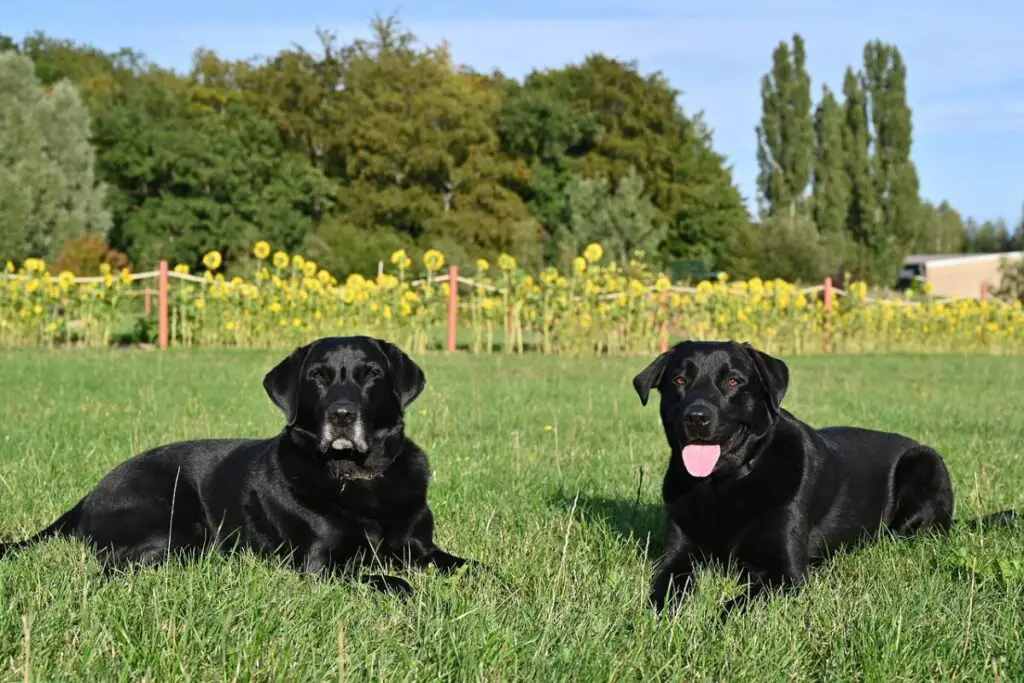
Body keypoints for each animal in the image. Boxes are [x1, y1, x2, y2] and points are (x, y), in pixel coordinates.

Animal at [0, 335, 471, 598]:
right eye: (317, 376)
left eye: (372, 374)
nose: (341, 414)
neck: (357, 476)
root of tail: (88, 496)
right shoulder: (322, 565)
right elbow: (390, 581)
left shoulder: (420, 548)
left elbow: (471, 567)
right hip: (177, 529)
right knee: (112, 567)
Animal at [630, 339, 1015, 618]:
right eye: (680, 380)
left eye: (734, 381)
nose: (697, 417)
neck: (722, 485)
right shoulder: (677, 557)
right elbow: (664, 590)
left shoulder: (785, 574)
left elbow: (734, 606)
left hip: (924, 464)